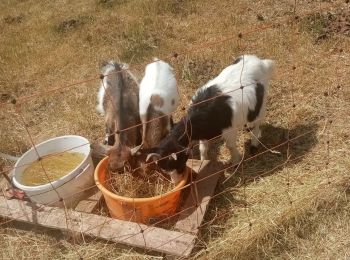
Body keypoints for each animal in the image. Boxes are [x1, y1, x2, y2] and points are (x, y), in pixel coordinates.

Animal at [146, 54, 274, 183]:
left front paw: (236, 162)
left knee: (257, 124)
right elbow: (203, 148)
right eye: (164, 169)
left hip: (260, 105)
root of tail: (261, 62)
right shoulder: (204, 133)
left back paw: (254, 144)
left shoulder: (229, 130)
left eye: (180, 164)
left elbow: (230, 146)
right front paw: (204, 162)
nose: (176, 182)